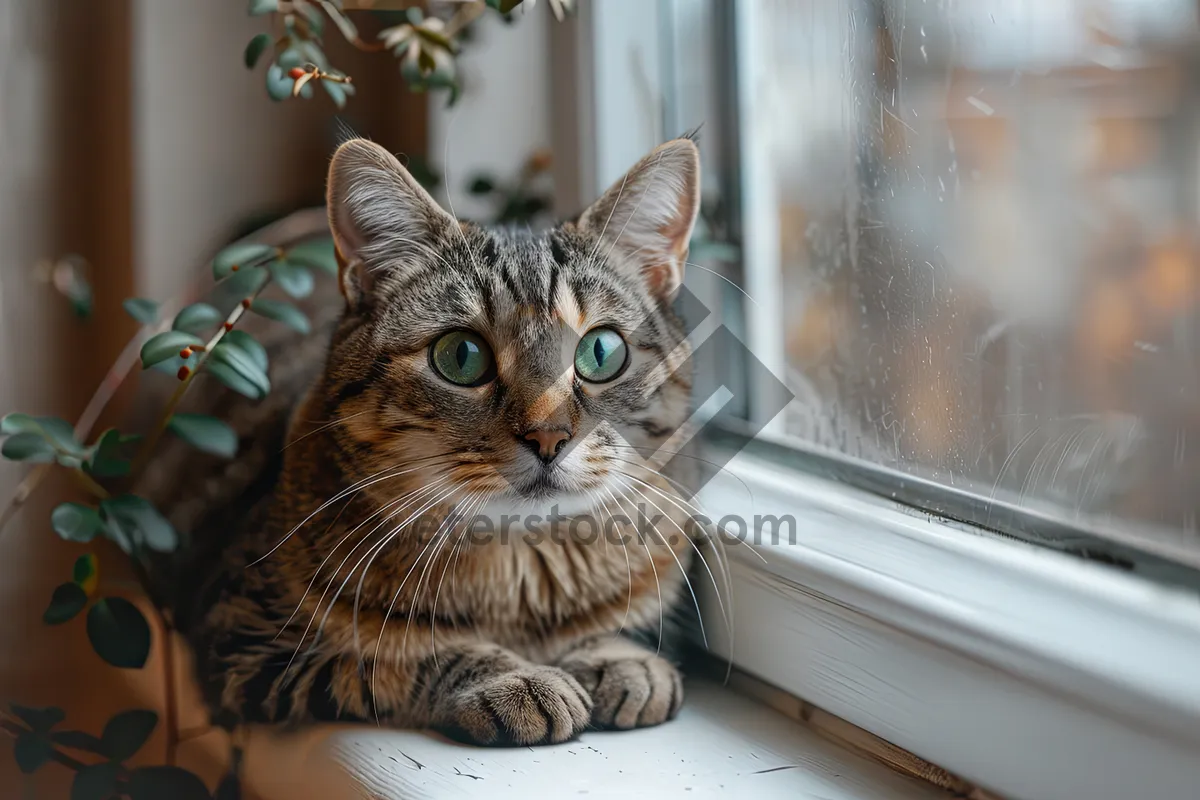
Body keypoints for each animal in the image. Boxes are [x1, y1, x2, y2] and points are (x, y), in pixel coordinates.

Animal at [145, 133, 710, 743]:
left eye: (601, 353)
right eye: (460, 356)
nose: (548, 435)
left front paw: (617, 657)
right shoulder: (244, 641)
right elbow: (402, 659)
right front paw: (512, 677)